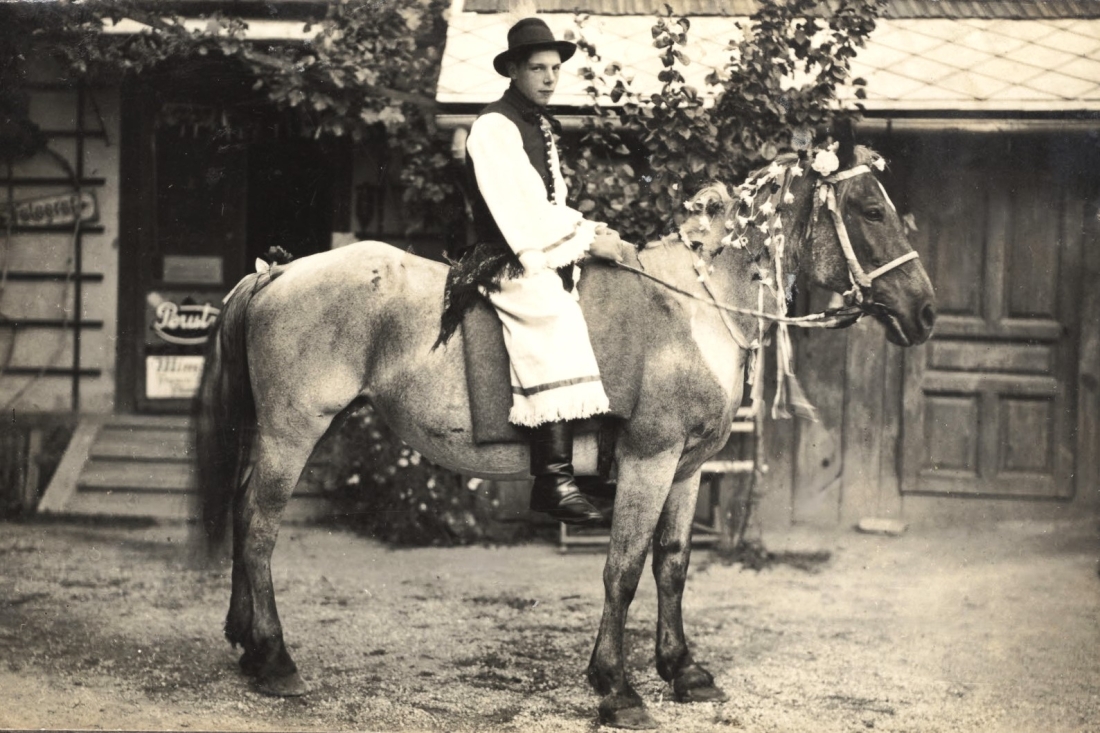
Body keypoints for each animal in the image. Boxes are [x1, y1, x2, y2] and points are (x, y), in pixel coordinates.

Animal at [194, 142, 936, 729]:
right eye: (870, 211)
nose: (926, 311)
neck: (695, 305)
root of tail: (277, 270)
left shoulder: (688, 468)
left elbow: (673, 564)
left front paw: (683, 669)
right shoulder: (649, 460)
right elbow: (624, 568)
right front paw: (617, 686)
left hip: (269, 433)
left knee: (239, 511)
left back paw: (244, 643)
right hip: (294, 430)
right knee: (259, 527)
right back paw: (274, 658)